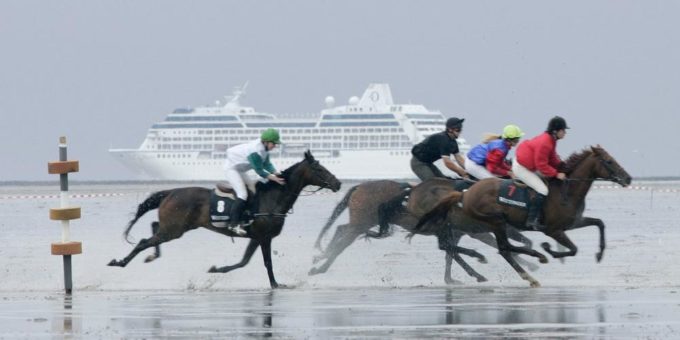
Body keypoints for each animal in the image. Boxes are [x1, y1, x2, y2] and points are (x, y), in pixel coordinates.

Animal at [109, 151, 342, 286]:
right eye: (319, 168)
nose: (338, 183)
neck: (273, 198)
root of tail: (171, 192)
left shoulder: (255, 237)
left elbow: (243, 262)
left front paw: (216, 269)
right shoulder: (264, 237)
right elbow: (267, 263)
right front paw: (276, 285)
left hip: (176, 227)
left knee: (154, 227)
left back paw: (150, 255)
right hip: (174, 229)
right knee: (143, 242)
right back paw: (120, 262)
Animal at [308, 177, 536, 282]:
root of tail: (359, 187)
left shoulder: (454, 231)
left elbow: (451, 252)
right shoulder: (463, 230)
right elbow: (453, 251)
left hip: (360, 222)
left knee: (341, 230)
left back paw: (320, 259)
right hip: (362, 222)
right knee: (344, 240)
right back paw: (321, 265)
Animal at [418, 145, 636, 286]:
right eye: (609, 161)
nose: (628, 178)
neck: (566, 191)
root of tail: (464, 193)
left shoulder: (573, 222)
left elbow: (599, 223)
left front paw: (599, 254)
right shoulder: (553, 230)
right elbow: (573, 249)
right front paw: (549, 250)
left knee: (490, 249)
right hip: (495, 221)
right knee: (503, 249)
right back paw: (533, 265)